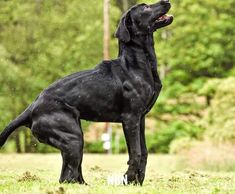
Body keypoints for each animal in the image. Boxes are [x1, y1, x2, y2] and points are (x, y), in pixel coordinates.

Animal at [0, 0, 173, 185]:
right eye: (145, 7)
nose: (167, 1)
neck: (137, 64)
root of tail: (31, 108)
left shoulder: (141, 118)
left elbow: (144, 152)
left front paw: (136, 182)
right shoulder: (130, 118)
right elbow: (136, 153)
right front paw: (128, 179)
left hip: (74, 139)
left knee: (70, 175)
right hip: (74, 138)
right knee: (66, 177)